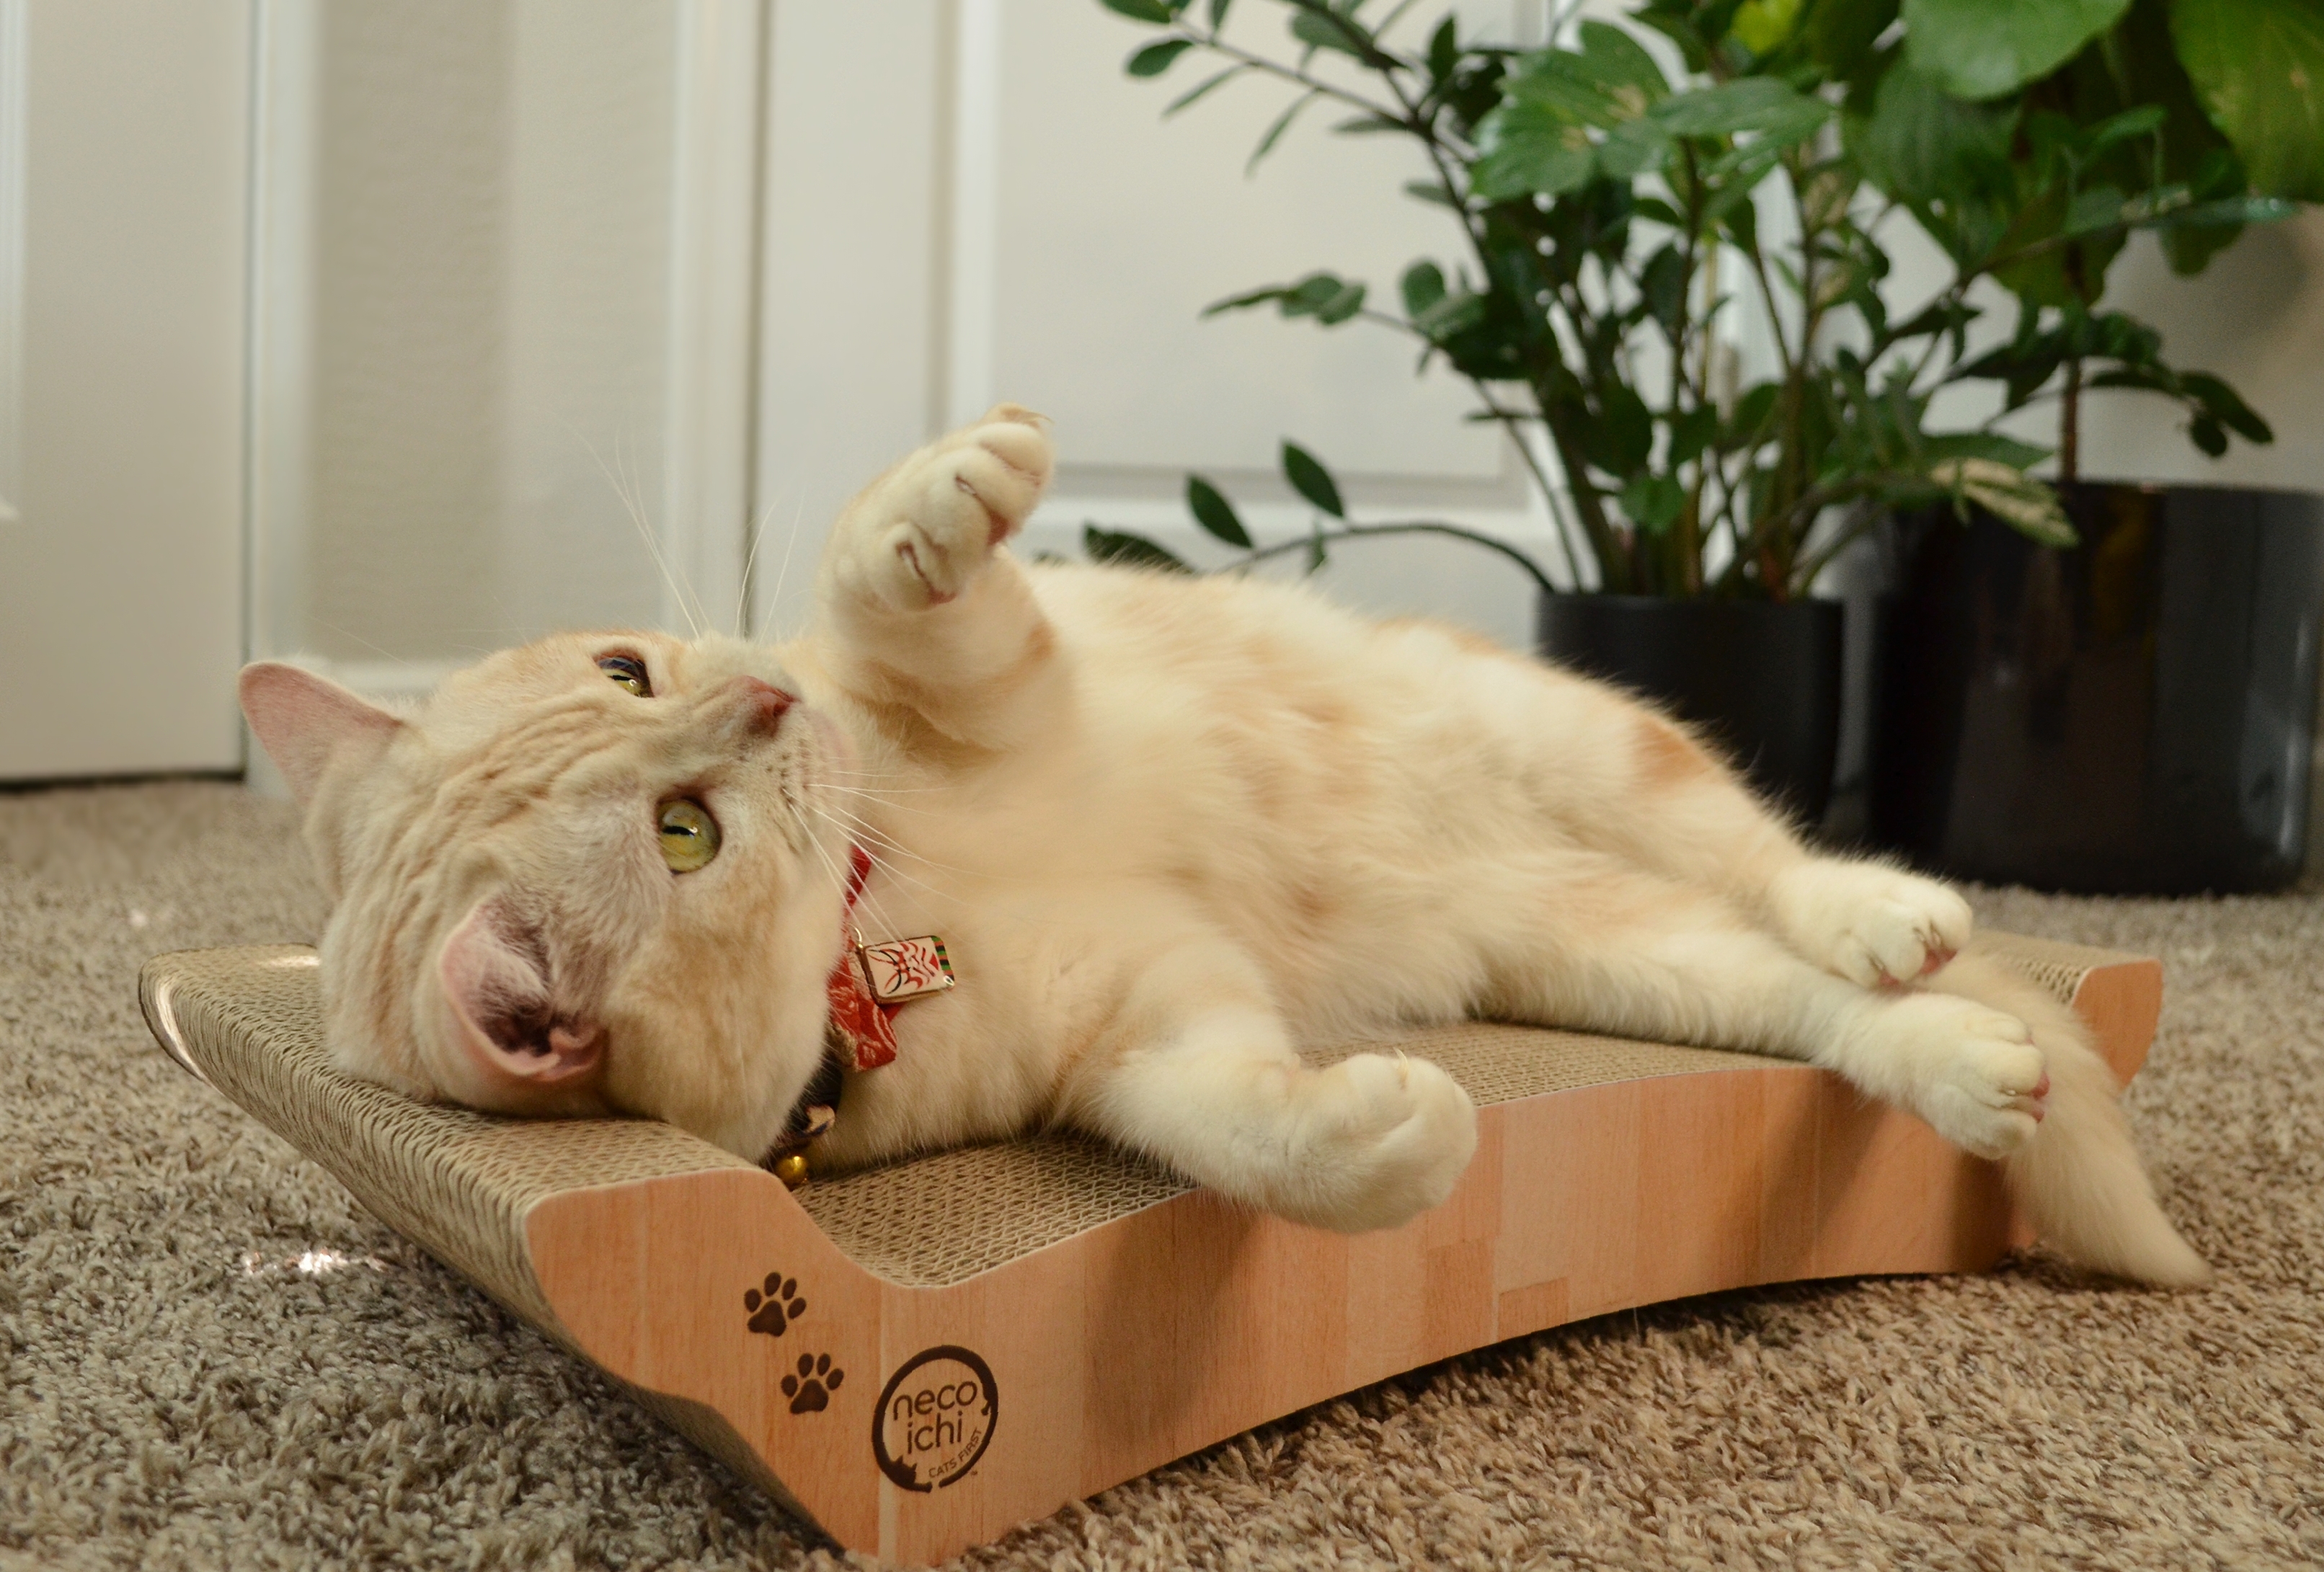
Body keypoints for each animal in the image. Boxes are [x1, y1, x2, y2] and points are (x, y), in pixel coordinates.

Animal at [240, 404, 2212, 1292]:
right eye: (683, 830)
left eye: (630, 669)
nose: (769, 707)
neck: (894, 906)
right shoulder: (1152, 1030)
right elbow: (1253, 1131)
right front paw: (1390, 1138)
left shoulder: (978, 682)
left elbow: (893, 584)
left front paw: (944, 491)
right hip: (1623, 952)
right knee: (1815, 1004)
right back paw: (1963, 1055)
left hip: (1588, 748)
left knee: (1782, 867)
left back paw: (1890, 908)